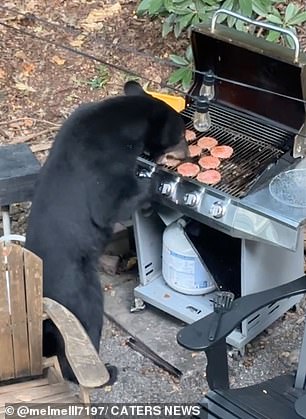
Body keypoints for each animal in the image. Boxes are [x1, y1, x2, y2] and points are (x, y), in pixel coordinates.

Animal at [25, 81, 189, 384]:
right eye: (181, 135)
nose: (189, 153)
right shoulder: (103, 164)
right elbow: (113, 203)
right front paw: (156, 181)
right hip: (79, 293)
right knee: (84, 329)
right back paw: (104, 373)